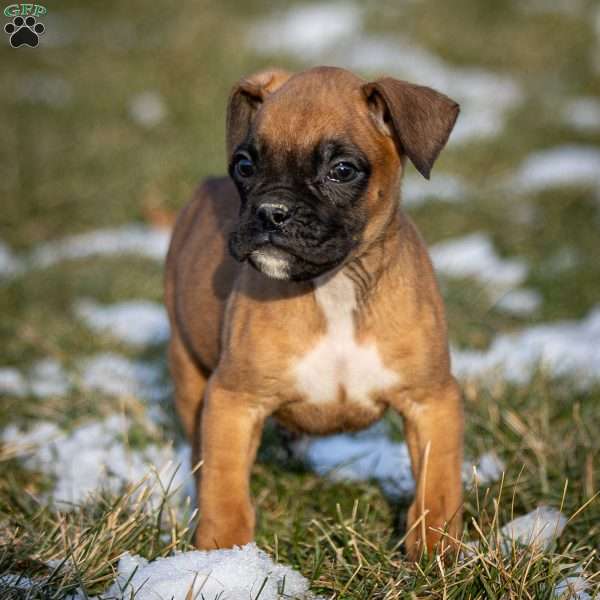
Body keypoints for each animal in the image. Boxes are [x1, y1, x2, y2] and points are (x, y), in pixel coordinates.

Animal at [164, 68, 464, 560]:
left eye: (341, 170)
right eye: (245, 166)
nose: (270, 213)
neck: (336, 286)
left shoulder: (431, 399)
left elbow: (437, 484)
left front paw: (437, 552)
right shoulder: (233, 399)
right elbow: (225, 491)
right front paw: (225, 556)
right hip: (187, 364)